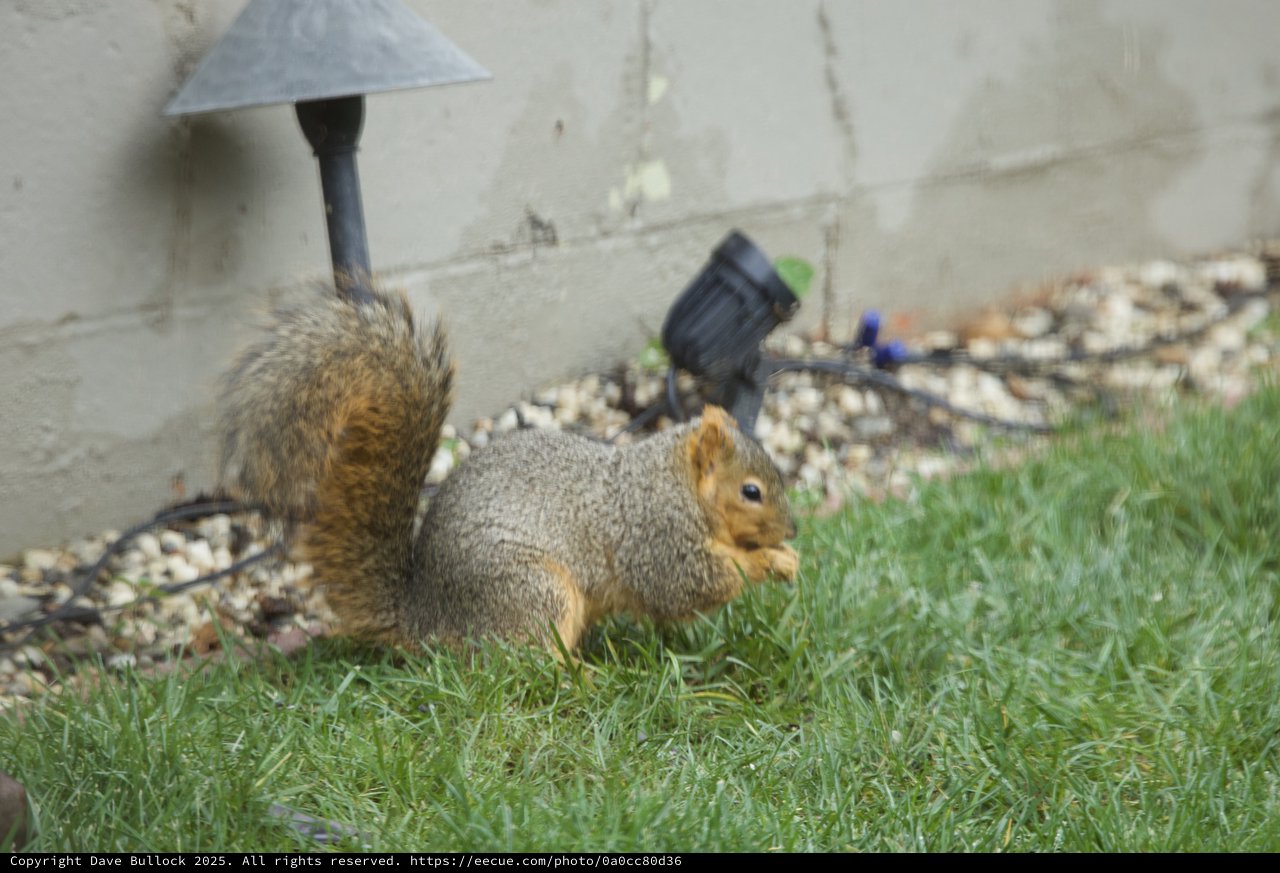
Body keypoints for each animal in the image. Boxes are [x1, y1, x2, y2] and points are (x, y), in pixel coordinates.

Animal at [218, 286, 799, 652]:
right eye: (751, 491)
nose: (793, 529)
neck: (675, 484)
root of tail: (427, 618)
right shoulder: (656, 537)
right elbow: (688, 585)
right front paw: (765, 562)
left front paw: (786, 557)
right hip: (533, 592)